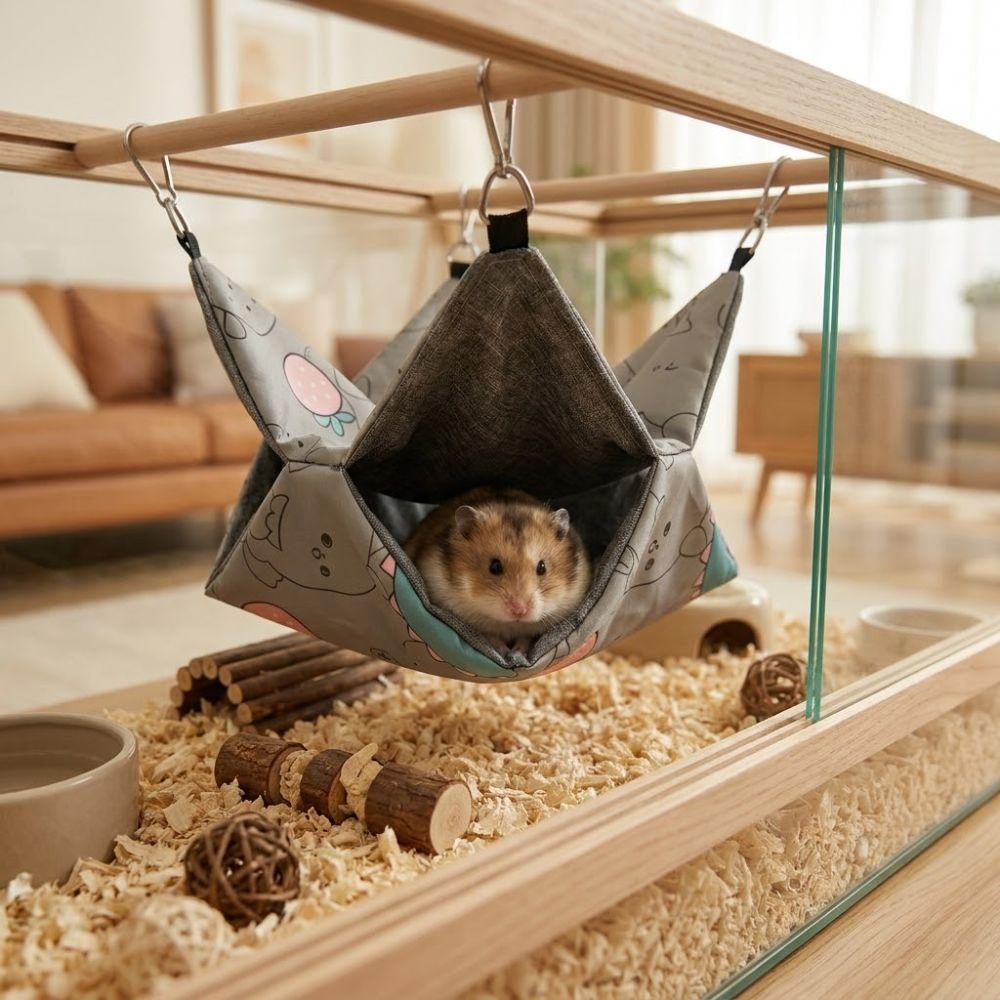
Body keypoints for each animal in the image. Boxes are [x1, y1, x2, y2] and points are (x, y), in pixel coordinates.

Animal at [404, 487, 592, 654]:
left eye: (542, 567)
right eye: (494, 566)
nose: (519, 610)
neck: (512, 623)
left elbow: (526, 637)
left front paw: (517, 651)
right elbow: (491, 636)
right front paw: (504, 650)